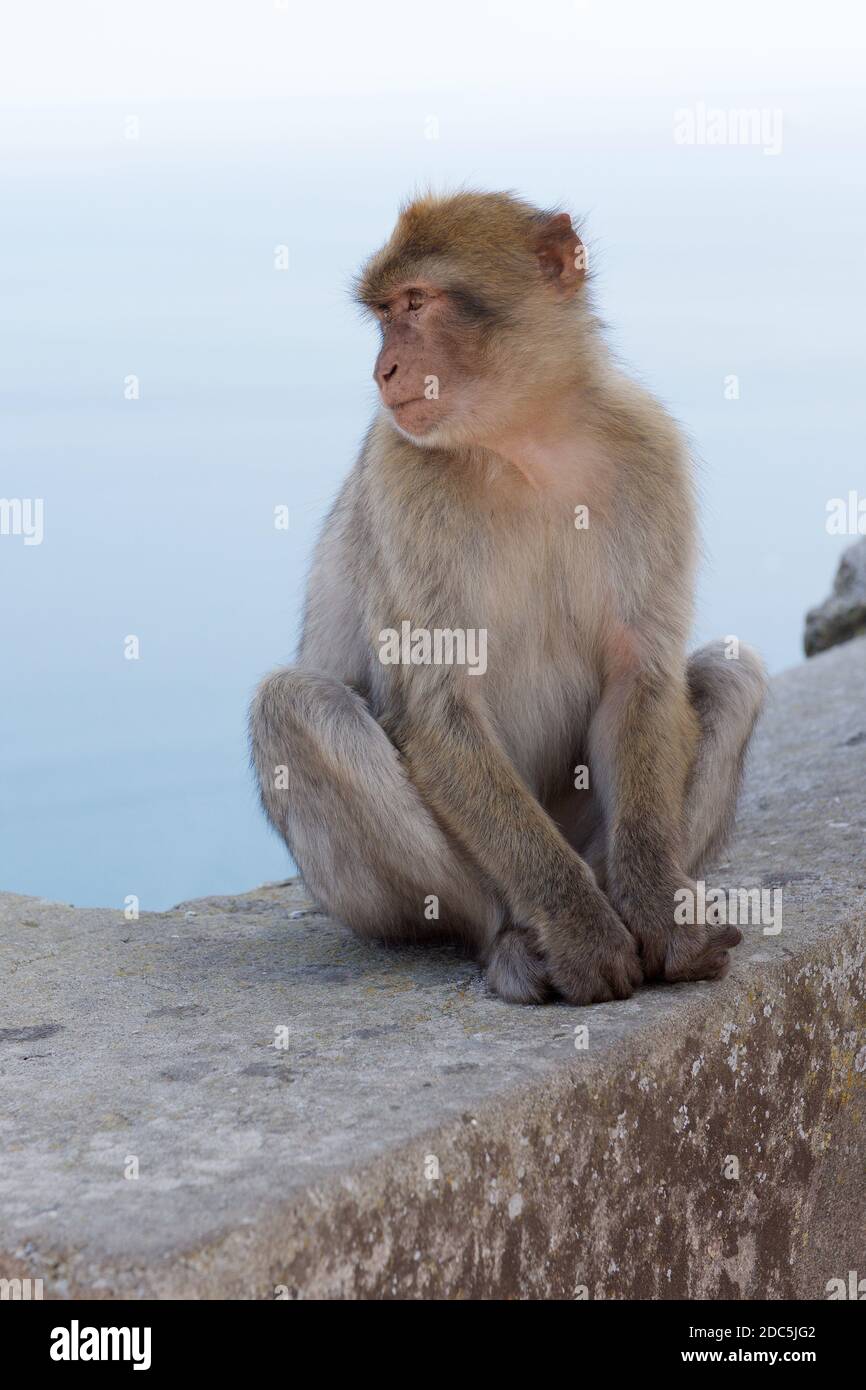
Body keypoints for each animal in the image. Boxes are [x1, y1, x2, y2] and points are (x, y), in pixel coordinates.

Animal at [250, 190, 766, 1006]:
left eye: (416, 303)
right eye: (385, 312)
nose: (383, 369)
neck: (526, 446)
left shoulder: (652, 455)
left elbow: (642, 675)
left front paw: (663, 914)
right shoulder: (401, 478)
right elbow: (439, 709)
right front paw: (581, 933)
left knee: (729, 672)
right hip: (372, 902)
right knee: (294, 705)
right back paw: (511, 938)